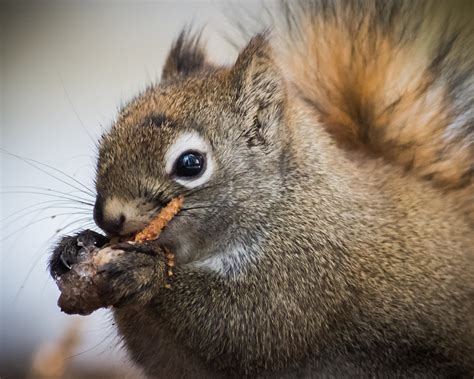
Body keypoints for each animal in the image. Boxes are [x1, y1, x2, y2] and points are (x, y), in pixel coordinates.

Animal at [50, 1, 472, 378]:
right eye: (107, 139)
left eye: (190, 164)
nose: (108, 217)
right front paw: (76, 247)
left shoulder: (304, 275)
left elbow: (244, 326)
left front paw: (145, 271)